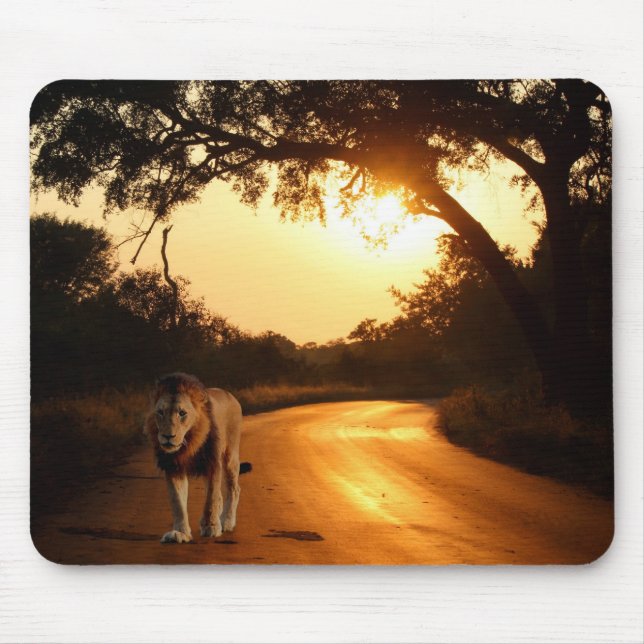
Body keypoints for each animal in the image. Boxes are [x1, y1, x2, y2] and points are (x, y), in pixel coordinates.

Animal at [144, 372, 242, 543]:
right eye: (160, 412)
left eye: (182, 413)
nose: (168, 436)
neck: (188, 443)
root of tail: (230, 395)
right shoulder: (173, 468)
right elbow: (177, 502)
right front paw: (180, 532)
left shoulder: (212, 463)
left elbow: (210, 499)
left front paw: (211, 527)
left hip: (230, 456)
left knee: (234, 489)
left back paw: (227, 522)